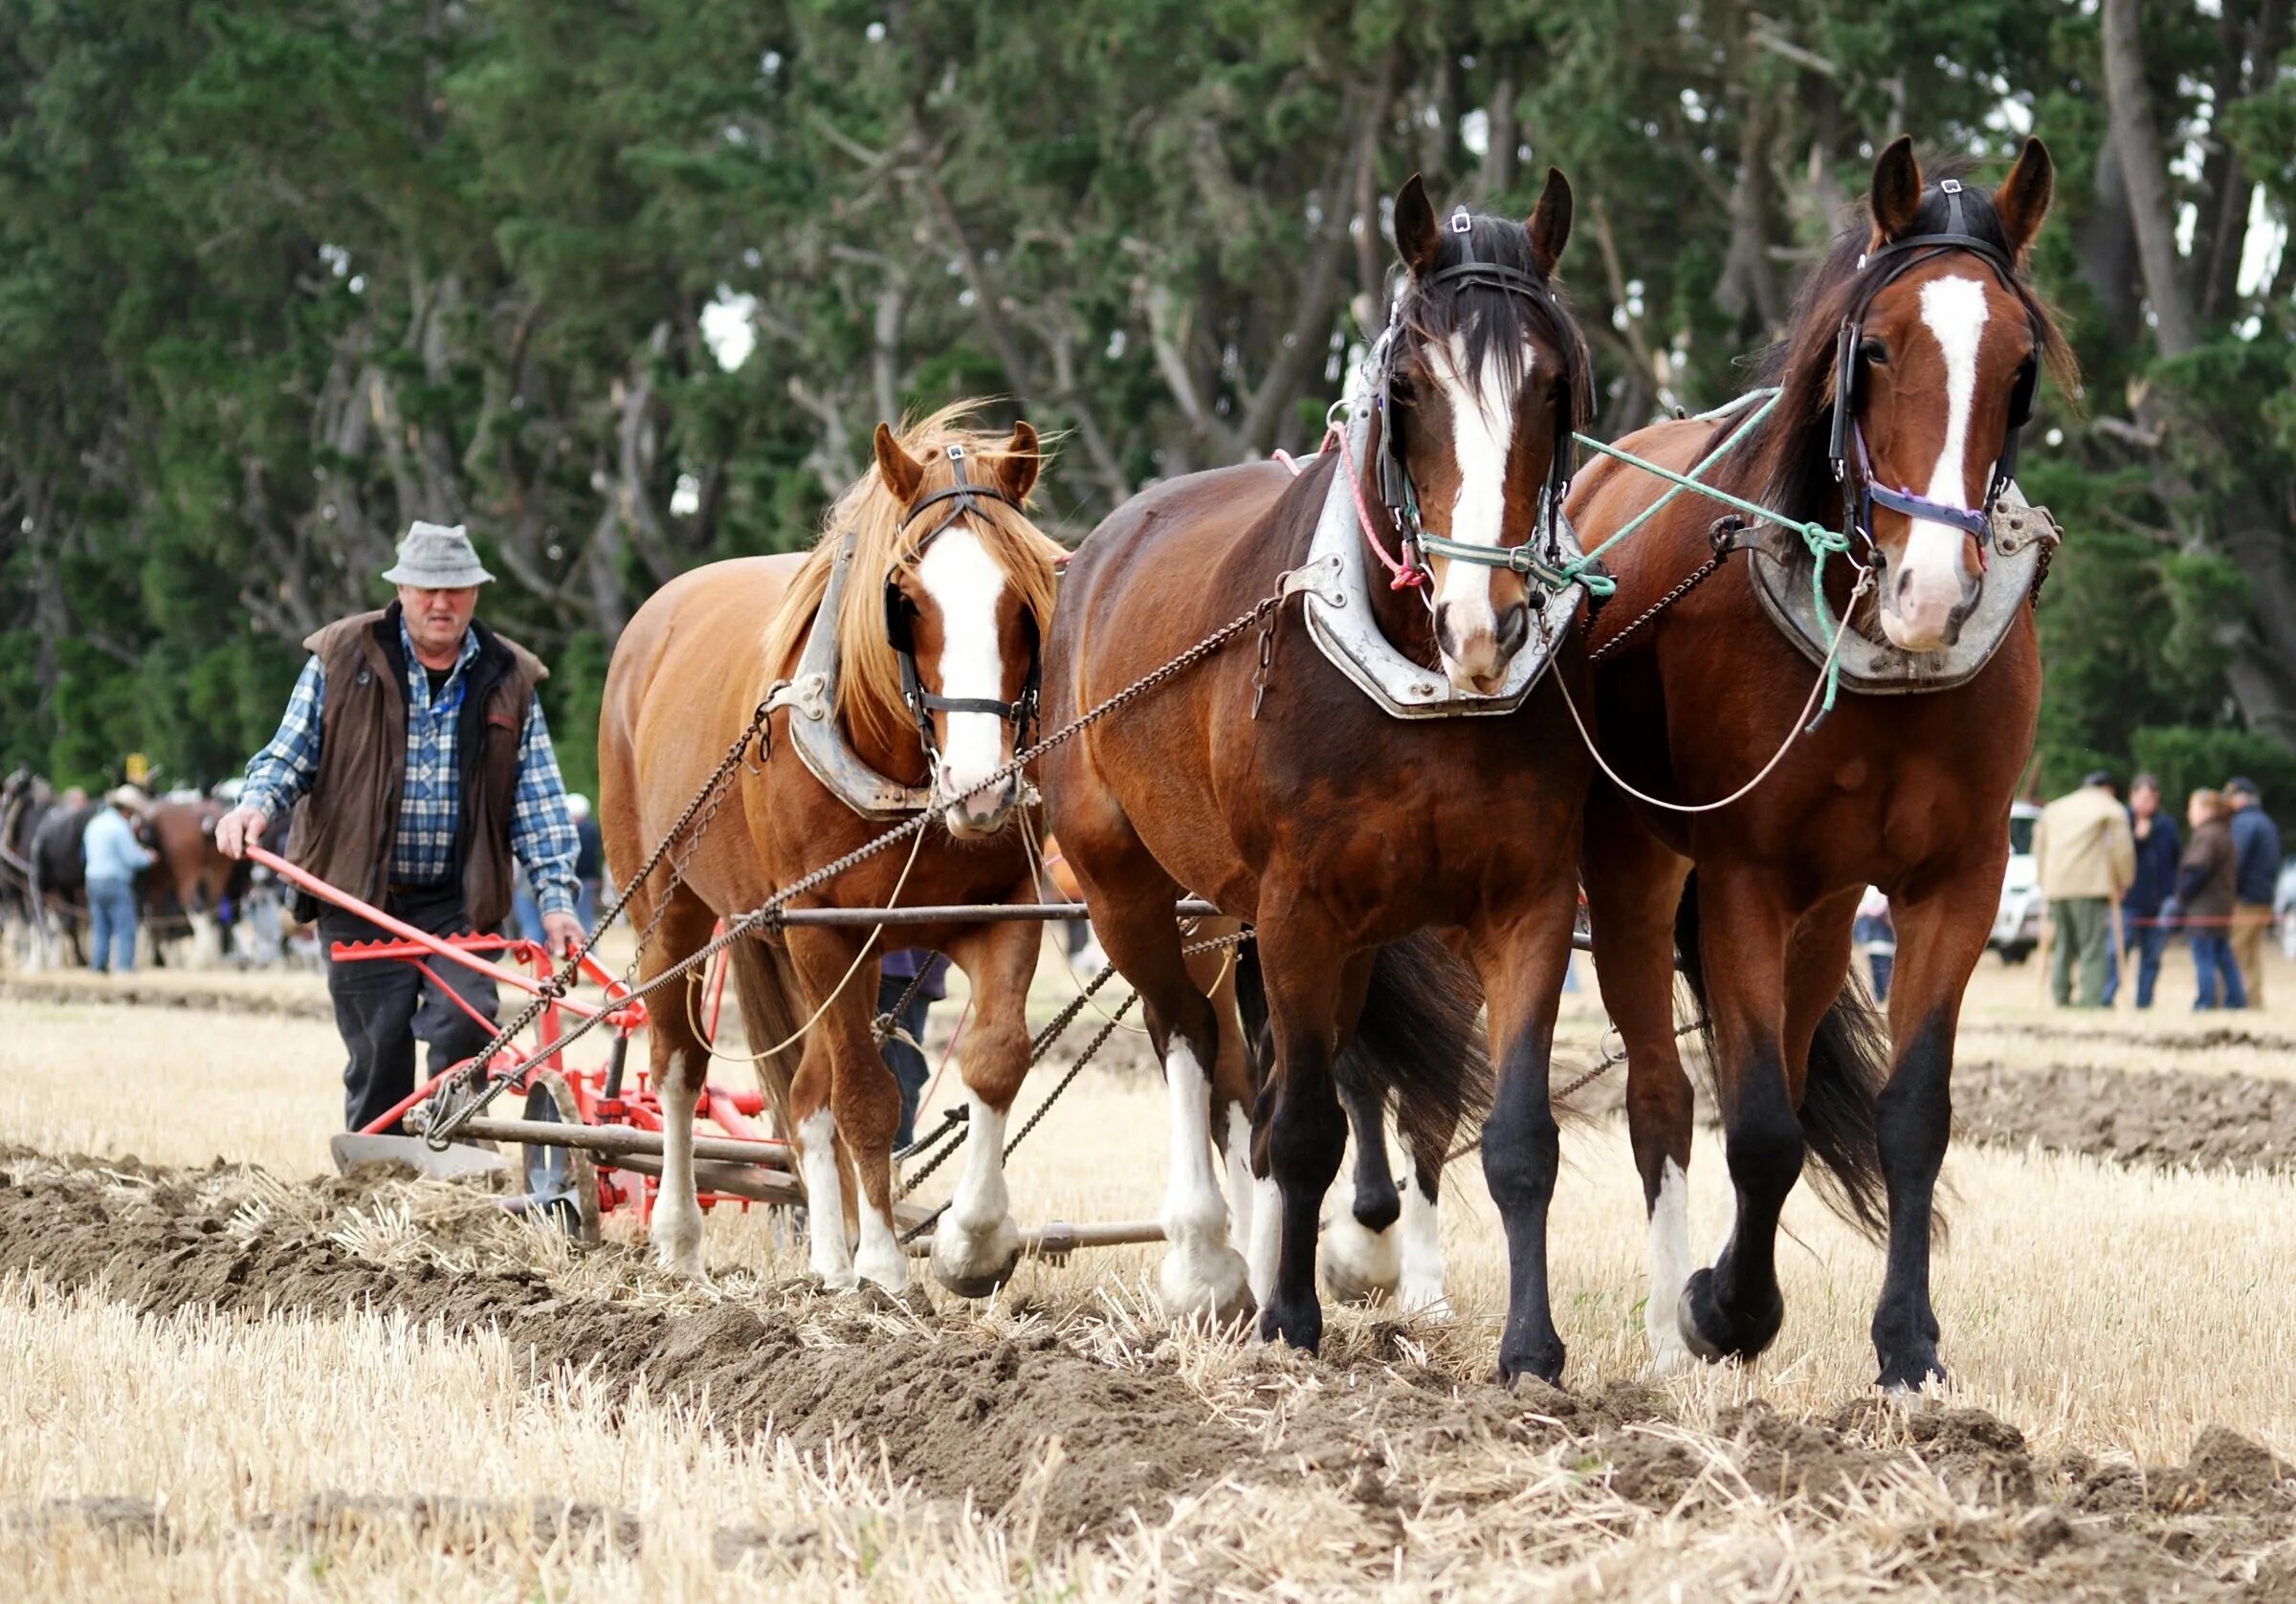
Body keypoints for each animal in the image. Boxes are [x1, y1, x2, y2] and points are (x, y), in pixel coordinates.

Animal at [587, 408, 1060, 1303]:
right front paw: (884, 1265)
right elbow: (867, 1096)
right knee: (679, 1066)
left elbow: (996, 1058)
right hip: (669, 904)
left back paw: (828, 1262)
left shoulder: (1006, 905)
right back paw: (680, 1240)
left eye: (1027, 597)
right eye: (904, 599)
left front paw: (971, 1243)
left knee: (806, 1088)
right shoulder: (823, 927)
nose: (981, 788)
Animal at [1047, 171, 1598, 1376]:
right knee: (1190, 1040)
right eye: (1408, 386)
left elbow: (1516, 1136)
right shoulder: (1299, 903)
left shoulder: (1525, 901)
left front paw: (1530, 1350)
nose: (1485, 624)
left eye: (1555, 384)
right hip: (1133, 890)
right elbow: (1301, 1129)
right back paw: (1212, 1268)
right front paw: (1292, 1323)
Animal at [1570, 141, 2075, 1395]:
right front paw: (1726, 1309)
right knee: (1664, 1097)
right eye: (1877, 345)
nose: (1933, 591)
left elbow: (1910, 1113)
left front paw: (1908, 1347)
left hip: (1829, 903)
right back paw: (1669, 1326)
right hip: (1635, 867)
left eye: (2019, 366)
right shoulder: (1743, 875)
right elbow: (1754, 1126)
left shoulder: (1958, 877)